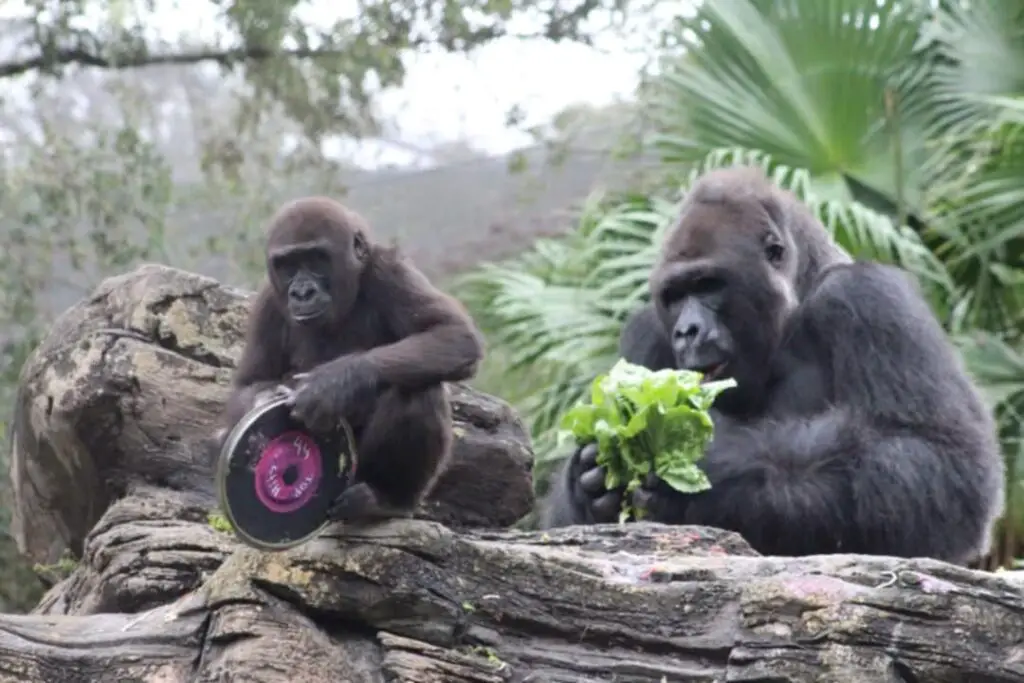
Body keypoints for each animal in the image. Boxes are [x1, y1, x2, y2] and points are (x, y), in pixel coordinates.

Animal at [224, 196, 483, 524]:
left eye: (317, 259)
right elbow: (248, 385)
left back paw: (387, 500)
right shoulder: (268, 301)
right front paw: (265, 400)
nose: (302, 292)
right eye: (288, 266)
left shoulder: (390, 268)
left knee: (417, 389)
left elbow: (453, 332)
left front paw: (337, 382)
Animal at [540, 166, 1003, 565]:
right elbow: (570, 529)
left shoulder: (870, 297)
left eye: (707, 285)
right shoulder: (646, 334)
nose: (687, 331)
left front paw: (718, 474)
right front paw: (585, 480)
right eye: (674, 295)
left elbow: (941, 458)